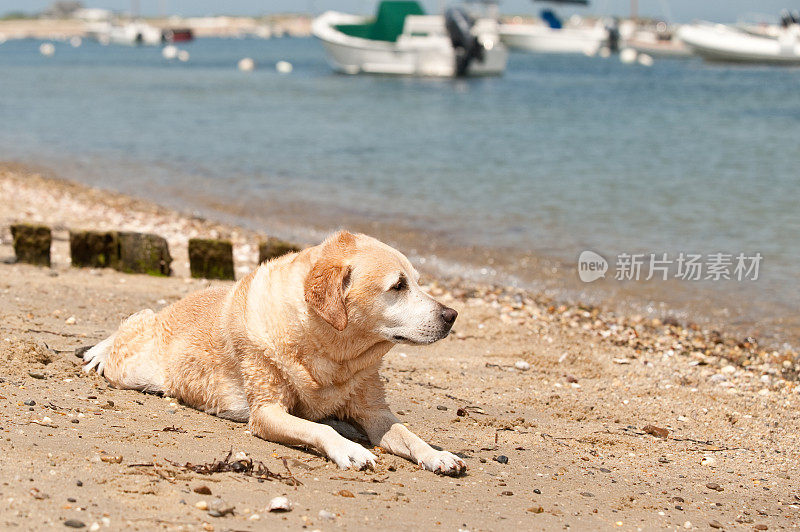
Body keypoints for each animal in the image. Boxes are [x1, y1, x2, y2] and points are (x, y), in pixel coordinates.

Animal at [83, 231, 466, 476]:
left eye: (417, 282)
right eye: (398, 286)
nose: (451, 315)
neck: (332, 354)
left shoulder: (374, 411)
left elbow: (408, 434)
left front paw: (437, 455)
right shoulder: (266, 412)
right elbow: (320, 429)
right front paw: (350, 449)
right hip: (134, 369)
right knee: (134, 323)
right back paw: (99, 351)